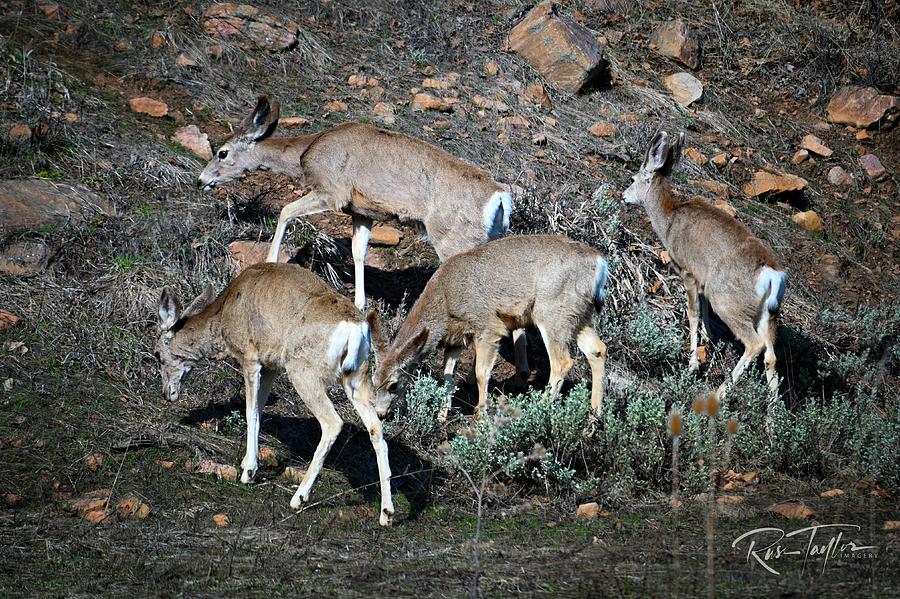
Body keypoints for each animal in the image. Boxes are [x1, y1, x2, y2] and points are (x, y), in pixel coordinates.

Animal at [152, 264, 394, 528]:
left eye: (157, 354)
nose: (167, 393)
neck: (225, 313)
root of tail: (354, 327)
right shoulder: (271, 366)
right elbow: (259, 408)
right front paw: (249, 463)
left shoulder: (250, 357)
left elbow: (251, 412)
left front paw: (248, 471)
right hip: (356, 377)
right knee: (376, 428)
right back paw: (386, 513)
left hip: (303, 371)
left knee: (333, 423)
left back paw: (299, 498)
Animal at [195, 97, 536, 380]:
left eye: (222, 152)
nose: (201, 181)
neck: (307, 152)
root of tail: (500, 197)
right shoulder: (362, 210)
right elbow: (359, 251)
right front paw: (360, 303)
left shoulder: (332, 191)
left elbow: (285, 211)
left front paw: (269, 260)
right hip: (493, 237)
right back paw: (522, 371)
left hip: (455, 239)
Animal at [370, 234, 608, 422]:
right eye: (373, 382)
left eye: (393, 385)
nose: (381, 414)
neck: (445, 300)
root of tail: (599, 263)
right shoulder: (456, 339)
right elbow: (448, 376)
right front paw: (441, 415)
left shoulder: (488, 326)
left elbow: (481, 373)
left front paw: (480, 415)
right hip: (578, 315)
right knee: (597, 350)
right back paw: (593, 419)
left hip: (552, 312)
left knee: (562, 362)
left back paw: (538, 411)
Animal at [624, 130, 788, 398]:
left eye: (633, 178)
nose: (624, 196)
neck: (669, 221)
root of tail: (771, 274)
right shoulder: (702, 281)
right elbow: (705, 313)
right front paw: (708, 339)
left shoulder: (689, 272)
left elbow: (693, 313)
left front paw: (692, 364)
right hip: (769, 314)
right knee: (771, 356)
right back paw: (773, 410)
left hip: (728, 301)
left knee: (754, 345)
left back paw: (719, 393)